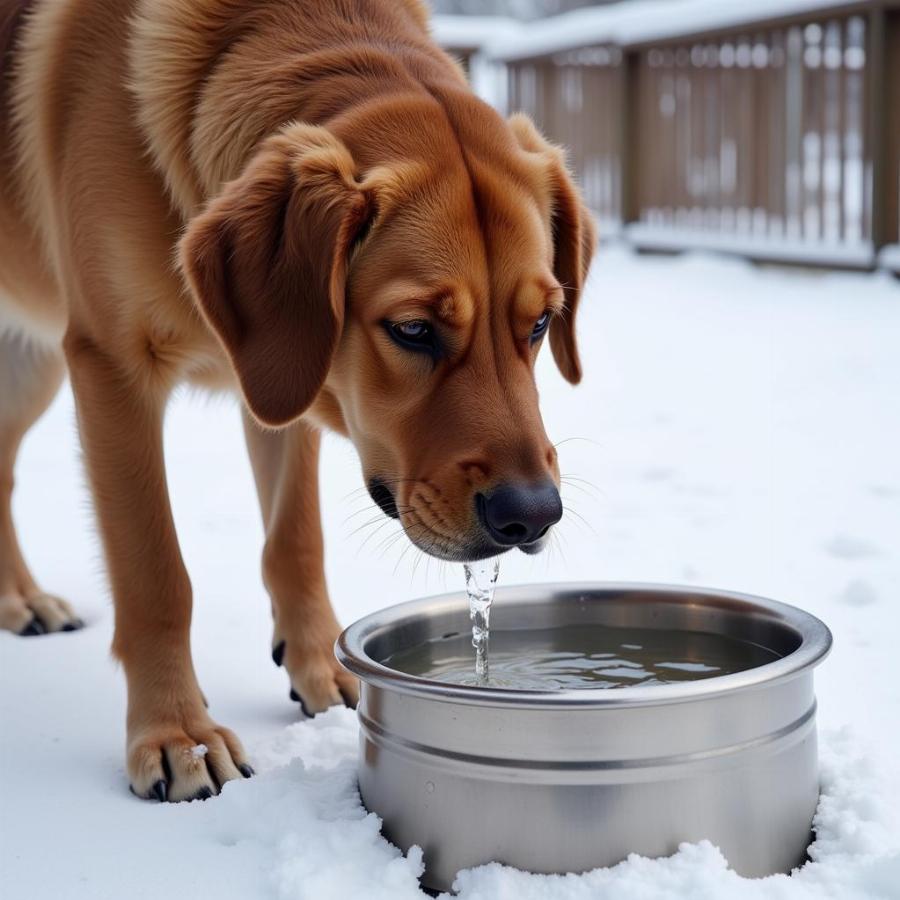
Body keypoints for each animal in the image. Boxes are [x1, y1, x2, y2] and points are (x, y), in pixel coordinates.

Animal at [0, 0, 596, 800]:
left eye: (539, 323)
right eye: (413, 329)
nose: (531, 514)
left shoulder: (283, 376)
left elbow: (295, 540)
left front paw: (319, 670)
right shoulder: (113, 369)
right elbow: (156, 576)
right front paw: (176, 735)